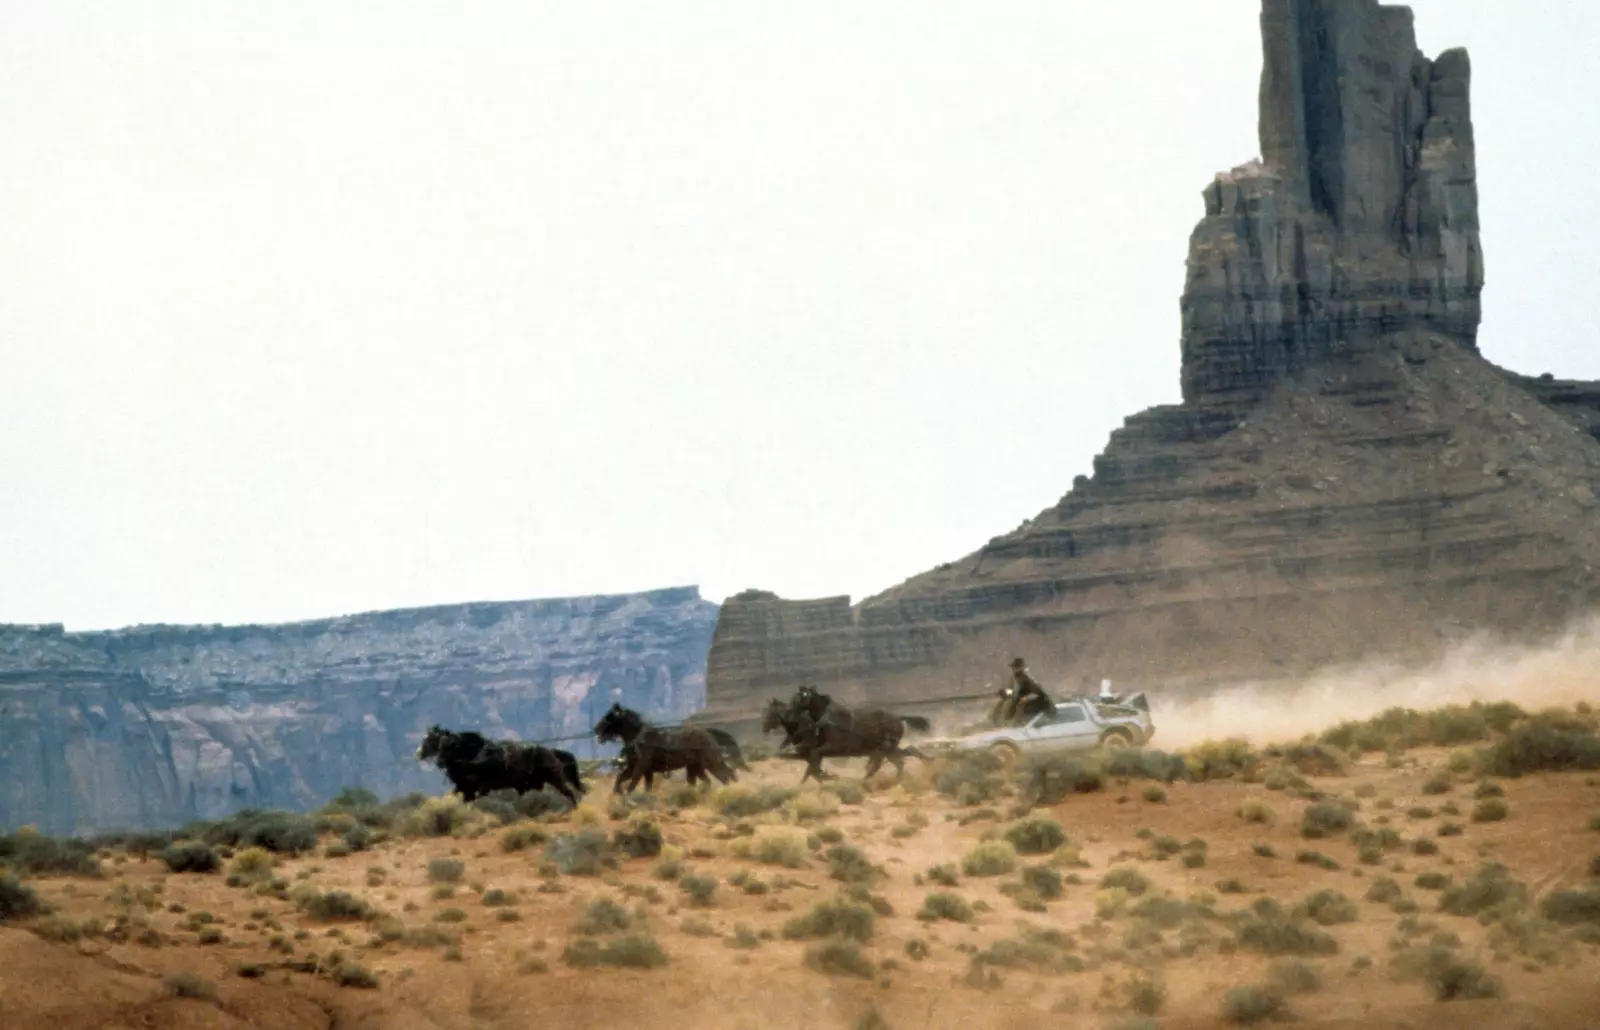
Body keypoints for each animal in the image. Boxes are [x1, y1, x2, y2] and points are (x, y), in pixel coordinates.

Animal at [416, 722, 585, 806]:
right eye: (439, 744)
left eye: (449, 746)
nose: (419, 753)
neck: (473, 755)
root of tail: (551, 752)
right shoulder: (467, 789)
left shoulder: (480, 788)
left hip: (555, 778)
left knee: (569, 792)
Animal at [595, 703, 736, 793]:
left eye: (609, 717)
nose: (596, 729)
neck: (639, 738)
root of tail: (708, 733)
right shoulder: (641, 769)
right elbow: (621, 780)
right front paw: (618, 793)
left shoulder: (640, 767)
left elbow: (632, 785)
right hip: (695, 766)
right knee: (709, 780)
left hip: (710, 761)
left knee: (725, 775)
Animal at [764, 687, 934, 783]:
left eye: (800, 697)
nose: (789, 713)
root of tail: (898, 717)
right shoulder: (809, 752)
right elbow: (811, 766)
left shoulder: (829, 748)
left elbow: (814, 762)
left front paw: (827, 776)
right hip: (889, 748)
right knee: (904, 755)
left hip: (886, 747)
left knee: (886, 762)